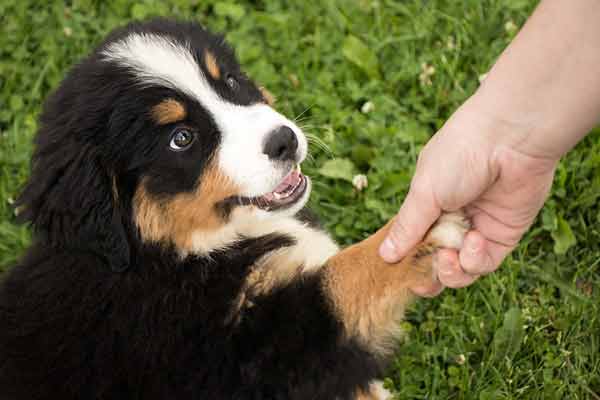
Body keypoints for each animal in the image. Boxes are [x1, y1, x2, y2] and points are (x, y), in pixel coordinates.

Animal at [0, 18, 468, 400]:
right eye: (181, 138)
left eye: (228, 82)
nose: (284, 140)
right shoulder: (255, 358)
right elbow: (340, 280)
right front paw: (420, 236)